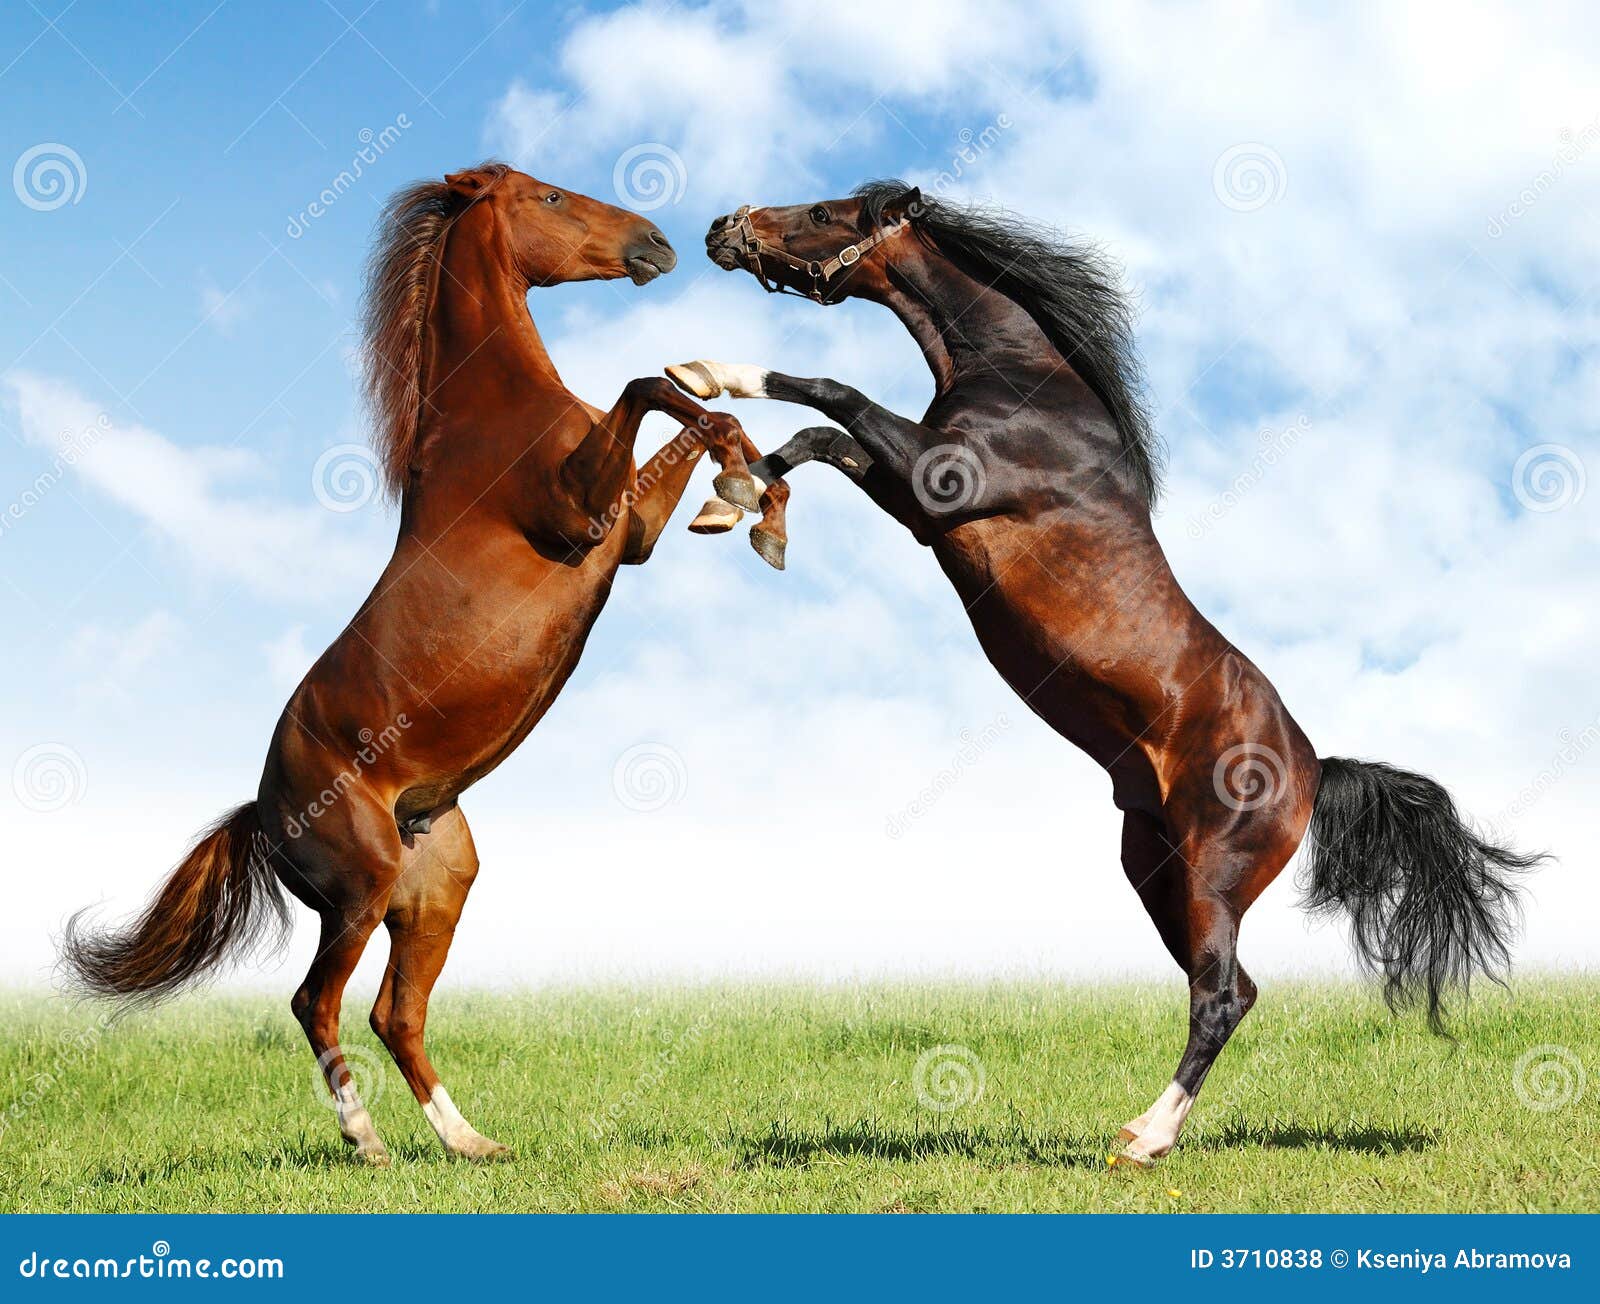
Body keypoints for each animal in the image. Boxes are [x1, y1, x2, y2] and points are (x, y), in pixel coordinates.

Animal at [60, 162, 787, 1167]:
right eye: (549, 198)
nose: (658, 243)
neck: (491, 411)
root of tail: (265, 808)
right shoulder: (584, 515)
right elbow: (647, 388)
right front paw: (741, 488)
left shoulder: (630, 532)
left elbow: (690, 416)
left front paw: (746, 484)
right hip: (357, 892)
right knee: (316, 1003)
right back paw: (364, 1138)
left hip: (436, 892)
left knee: (394, 1013)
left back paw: (470, 1141)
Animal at [667, 182, 1542, 1163]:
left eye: (826, 212)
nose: (722, 230)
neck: (1030, 391)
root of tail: (1316, 770)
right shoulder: (914, 501)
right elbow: (817, 438)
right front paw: (735, 504)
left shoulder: (941, 480)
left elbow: (828, 393)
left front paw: (709, 374)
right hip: (1154, 871)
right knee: (1233, 987)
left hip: (1212, 875)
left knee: (1220, 996)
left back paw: (1145, 1138)